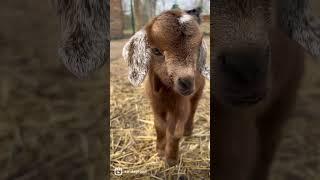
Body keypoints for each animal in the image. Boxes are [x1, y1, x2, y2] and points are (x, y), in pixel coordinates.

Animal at [121, 9, 209, 165]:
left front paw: (171, 159)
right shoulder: (156, 105)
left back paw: (188, 131)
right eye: (156, 51)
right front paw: (161, 151)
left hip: (198, 91)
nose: (187, 82)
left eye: (196, 51)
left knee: (193, 109)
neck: (165, 94)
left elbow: (174, 133)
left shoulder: (181, 106)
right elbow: (160, 126)